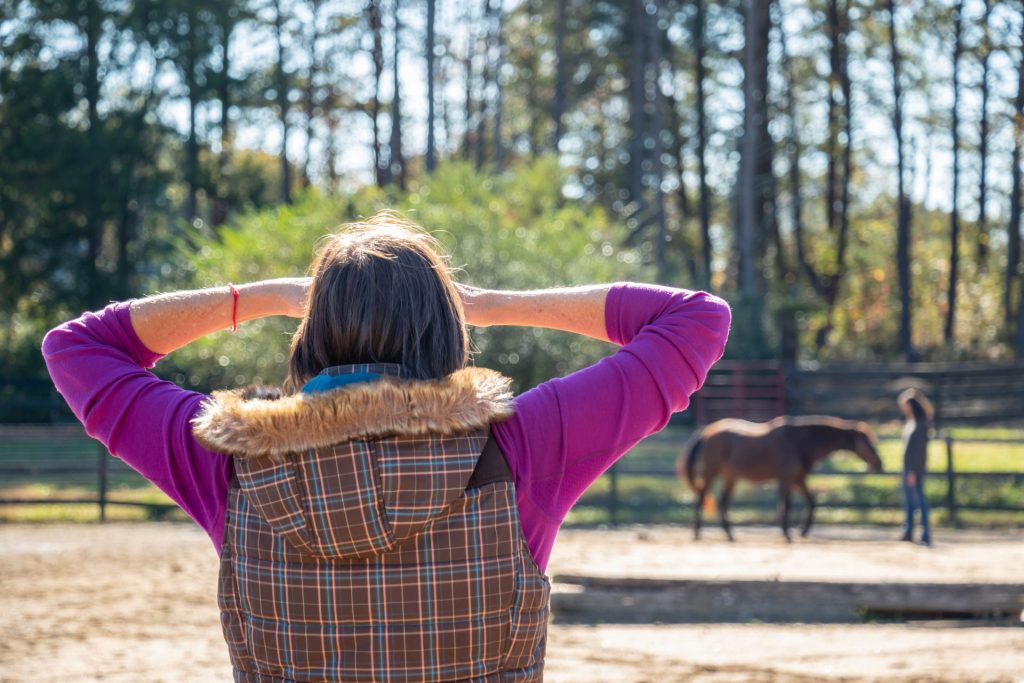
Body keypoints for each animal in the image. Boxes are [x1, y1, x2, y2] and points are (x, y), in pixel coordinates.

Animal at [679, 417, 880, 544]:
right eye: (868, 443)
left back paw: (729, 534)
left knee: (723, 502)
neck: (800, 442)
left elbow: (811, 502)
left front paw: (803, 531)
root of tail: (706, 432)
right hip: (711, 473)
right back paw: (697, 532)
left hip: (730, 476)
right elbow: (786, 505)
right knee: (701, 498)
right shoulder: (786, 479)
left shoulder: (798, 479)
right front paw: (787, 533)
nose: (879, 464)